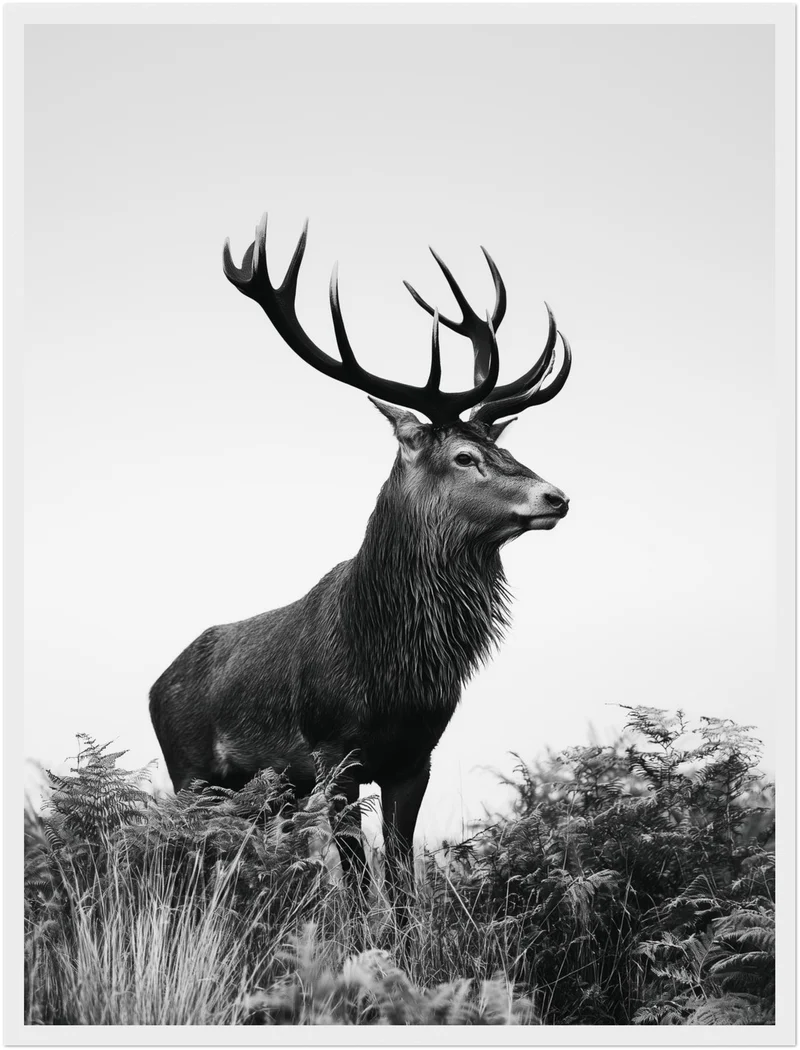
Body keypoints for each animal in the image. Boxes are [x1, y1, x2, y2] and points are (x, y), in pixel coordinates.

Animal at [149, 213, 572, 906]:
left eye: (503, 447)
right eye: (464, 456)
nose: (557, 496)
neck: (388, 666)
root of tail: (157, 683)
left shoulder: (415, 758)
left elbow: (399, 877)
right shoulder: (334, 754)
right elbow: (354, 876)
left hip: (267, 793)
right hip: (189, 771)